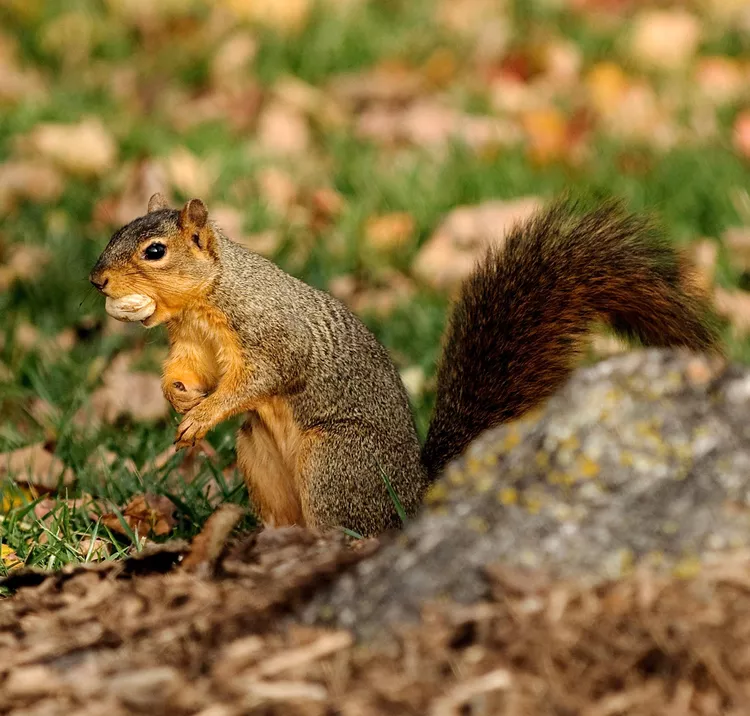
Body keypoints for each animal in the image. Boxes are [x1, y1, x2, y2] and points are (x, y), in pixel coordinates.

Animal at [89, 193, 724, 536]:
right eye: (116, 232)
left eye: (154, 251)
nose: (96, 280)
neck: (207, 299)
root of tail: (416, 496)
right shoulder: (192, 343)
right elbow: (187, 370)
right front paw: (178, 396)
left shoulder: (272, 335)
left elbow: (261, 377)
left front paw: (205, 413)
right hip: (260, 459)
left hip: (335, 461)